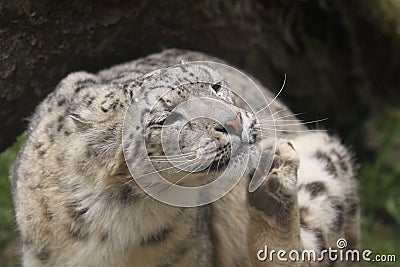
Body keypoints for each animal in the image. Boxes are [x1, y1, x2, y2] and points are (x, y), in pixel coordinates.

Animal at [9, 49, 360, 266]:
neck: (119, 224)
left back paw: (272, 180)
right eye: (167, 119)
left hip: (326, 160)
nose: (234, 121)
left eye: (216, 87)